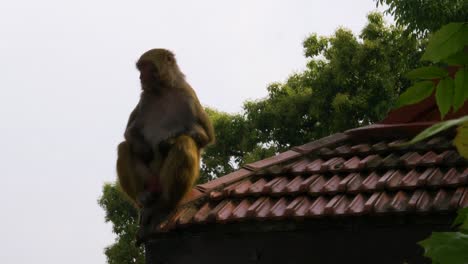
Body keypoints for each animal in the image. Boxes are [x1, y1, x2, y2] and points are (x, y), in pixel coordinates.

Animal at [116, 48, 215, 212]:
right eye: (140, 68)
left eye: (146, 67)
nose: (141, 76)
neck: (162, 91)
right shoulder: (144, 100)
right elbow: (130, 132)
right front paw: (144, 149)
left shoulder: (188, 97)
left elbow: (206, 136)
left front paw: (167, 143)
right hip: (148, 178)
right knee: (124, 147)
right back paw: (142, 196)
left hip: (166, 181)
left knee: (185, 142)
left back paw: (169, 200)